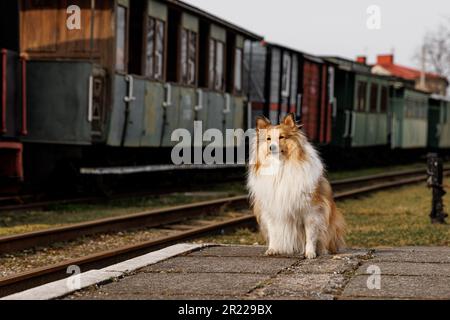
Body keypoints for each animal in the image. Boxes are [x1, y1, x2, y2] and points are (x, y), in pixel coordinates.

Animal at [248, 114, 346, 258]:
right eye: (268, 139)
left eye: (282, 137)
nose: (272, 147)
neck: (280, 166)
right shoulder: (271, 209)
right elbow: (273, 232)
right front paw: (272, 249)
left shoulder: (311, 211)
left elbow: (310, 235)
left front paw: (310, 253)